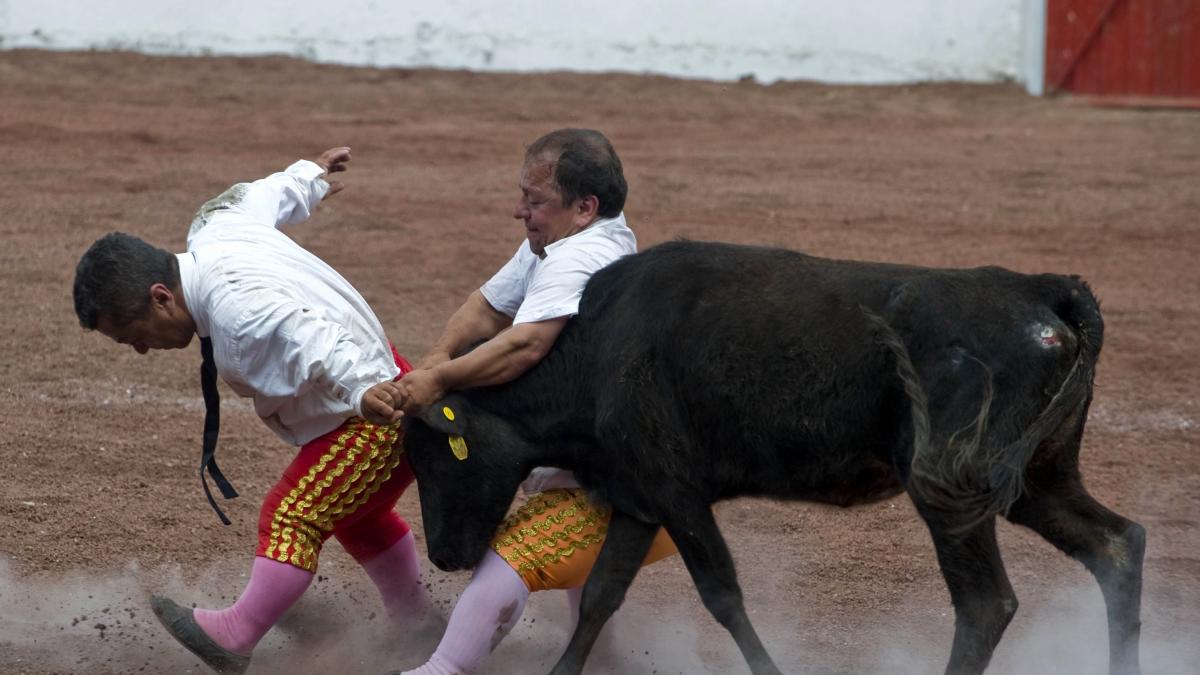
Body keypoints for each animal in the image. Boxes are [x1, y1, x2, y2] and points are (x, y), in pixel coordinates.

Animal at [403, 239, 1142, 672]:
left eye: (439, 456)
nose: (444, 555)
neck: (599, 351)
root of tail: (1045, 290)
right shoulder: (638, 497)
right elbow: (602, 597)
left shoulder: (676, 493)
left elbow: (722, 594)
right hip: (1038, 479)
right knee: (1116, 545)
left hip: (952, 490)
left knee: (986, 603)